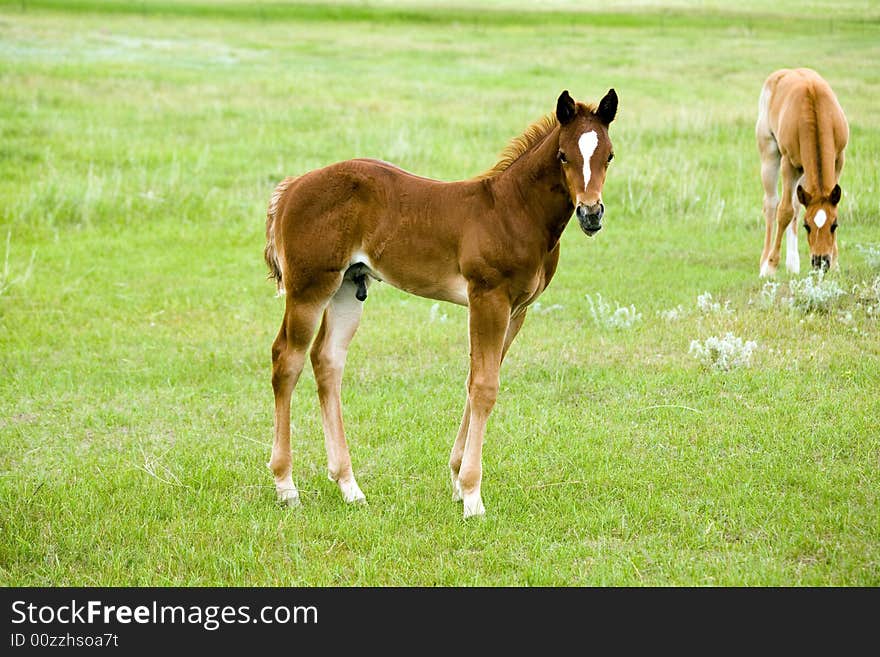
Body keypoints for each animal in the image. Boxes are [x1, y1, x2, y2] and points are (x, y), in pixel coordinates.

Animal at [264, 88, 616, 516]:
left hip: (348, 287)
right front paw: (472, 495)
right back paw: (286, 485)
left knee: (327, 361)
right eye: (564, 155)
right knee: (287, 359)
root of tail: (292, 187)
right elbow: (484, 386)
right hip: (309, 289)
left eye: (609, 155)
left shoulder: (516, 310)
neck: (513, 210)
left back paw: (349, 486)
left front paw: (458, 480)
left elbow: (477, 379)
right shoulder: (488, 298)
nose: (591, 213)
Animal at [756, 69, 844, 276]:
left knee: (796, 204)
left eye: (834, 225)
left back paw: (793, 263)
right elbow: (784, 211)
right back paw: (764, 261)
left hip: (805, 171)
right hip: (770, 154)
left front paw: (836, 264)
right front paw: (770, 266)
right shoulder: (789, 165)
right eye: (807, 226)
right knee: (771, 204)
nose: (821, 262)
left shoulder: (838, 160)